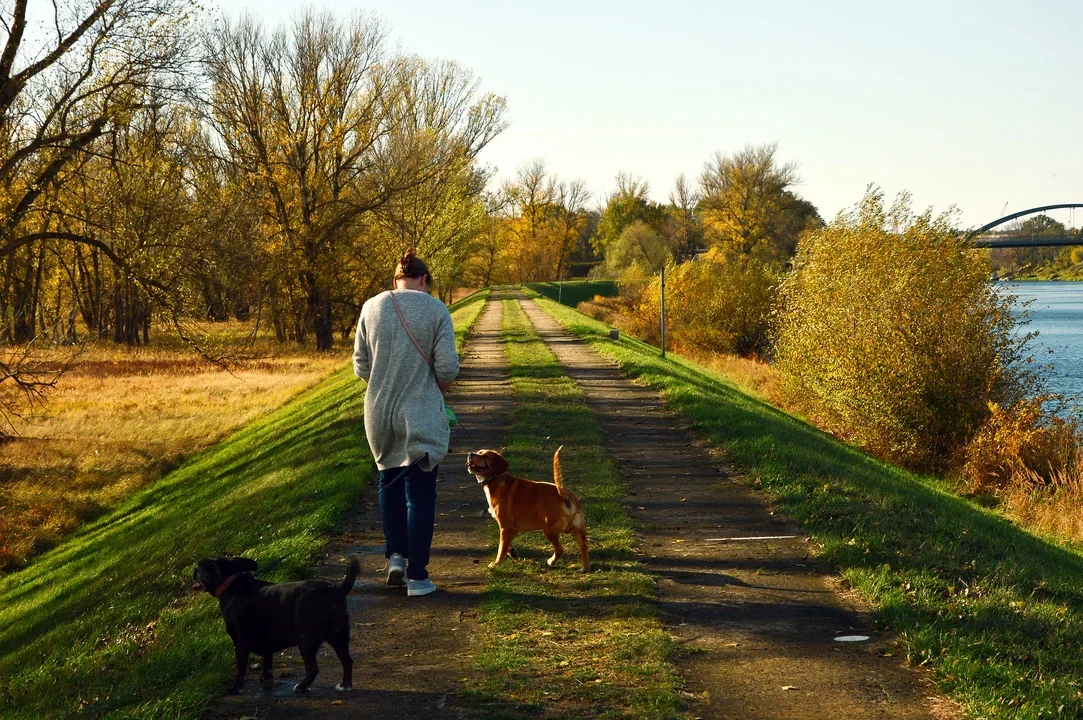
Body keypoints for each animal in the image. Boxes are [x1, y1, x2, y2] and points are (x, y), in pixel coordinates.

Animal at [192, 554, 361, 692]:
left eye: (199, 569)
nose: (193, 569)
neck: (231, 583)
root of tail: (336, 589)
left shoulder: (240, 642)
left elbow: (240, 669)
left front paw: (236, 688)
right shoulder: (266, 639)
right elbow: (267, 663)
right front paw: (265, 679)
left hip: (306, 641)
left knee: (313, 668)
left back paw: (302, 687)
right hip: (339, 637)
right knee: (347, 661)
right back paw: (345, 686)